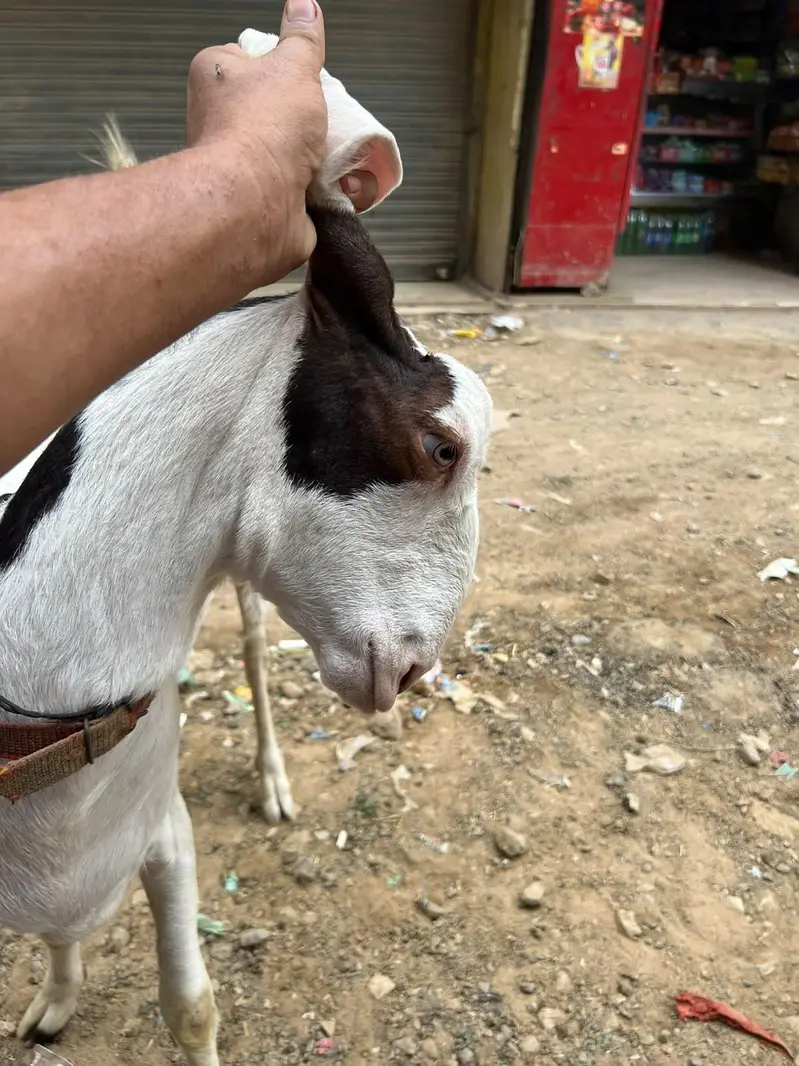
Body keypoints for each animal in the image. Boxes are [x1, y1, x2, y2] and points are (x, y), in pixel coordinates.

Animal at [0, 29, 491, 1066]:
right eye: (443, 446)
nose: (416, 670)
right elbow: (62, 934)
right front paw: (56, 995)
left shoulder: (164, 832)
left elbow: (191, 1006)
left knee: (260, 652)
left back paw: (271, 778)